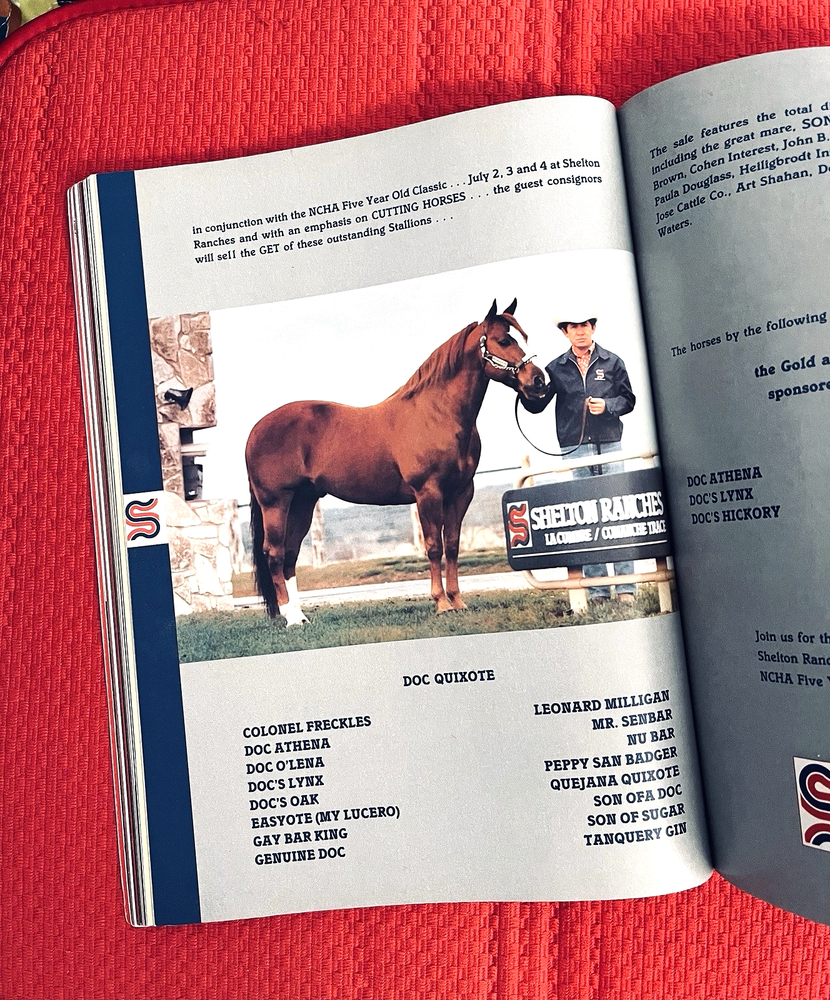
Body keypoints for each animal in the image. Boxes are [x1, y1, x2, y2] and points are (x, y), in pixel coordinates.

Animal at [245, 299, 548, 626]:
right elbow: (434, 547)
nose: (539, 381)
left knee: (289, 555)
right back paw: (290, 617)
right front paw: (441, 603)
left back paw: (300, 616)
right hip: (276, 503)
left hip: (303, 501)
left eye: (523, 338)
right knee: (274, 554)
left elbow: (453, 546)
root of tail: (256, 431)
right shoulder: (428, 493)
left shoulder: (461, 492)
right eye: (503, 341)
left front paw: (458, 601)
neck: (437, 414)